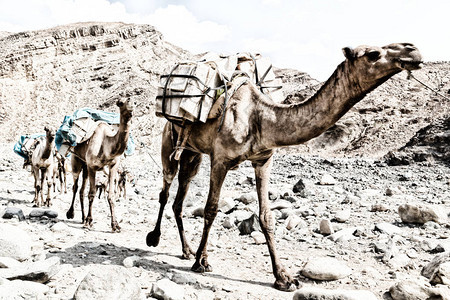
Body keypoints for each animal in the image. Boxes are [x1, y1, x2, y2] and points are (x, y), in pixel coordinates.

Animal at [66, 99, 134, 232]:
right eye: (121, 102)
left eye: (132, 100)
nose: (131, 108)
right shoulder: (92, 167)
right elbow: (92, 193)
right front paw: (89, 221)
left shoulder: (113, 166)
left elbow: (111, 195)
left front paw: (115, 225)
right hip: (76, 161)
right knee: (75, 186)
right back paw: (71, 214)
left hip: (85, 166)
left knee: (81, 190)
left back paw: (82, 218)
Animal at [147, 42, 422, 290]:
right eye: (373, 53)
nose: (413, 50)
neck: (260, 118)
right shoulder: (221, 159)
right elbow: (211, 209)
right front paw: (201, 262)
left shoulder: (263, 160)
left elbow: (267, 217)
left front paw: (284, 278)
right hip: (169, 141)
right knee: (165, 191)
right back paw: (155, 238)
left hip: (192, 154)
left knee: (179, 198)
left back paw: (186, 250)